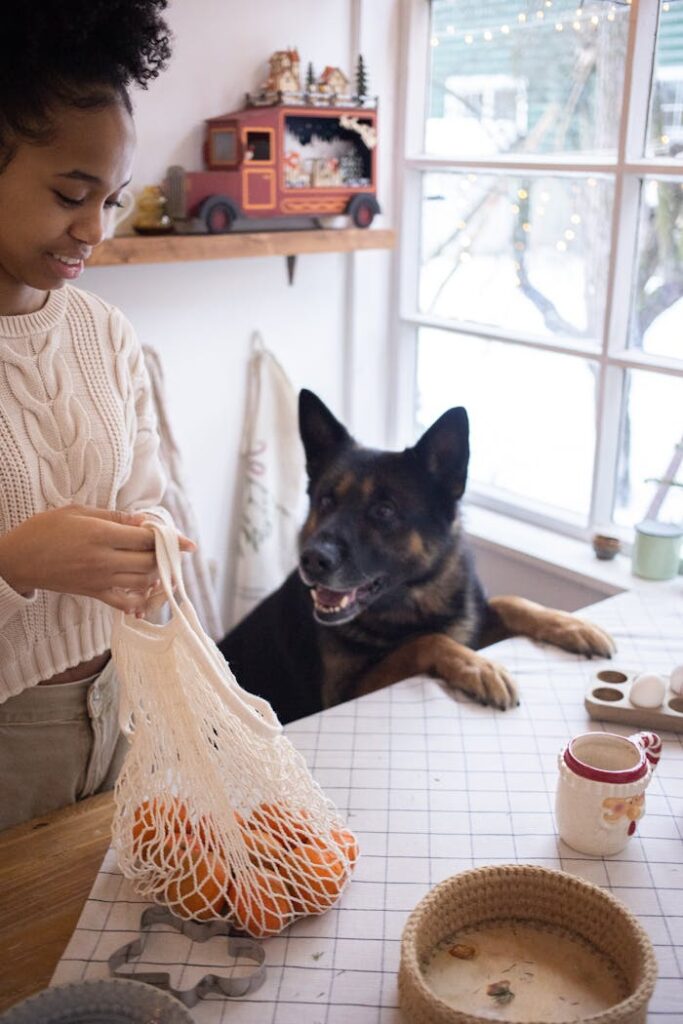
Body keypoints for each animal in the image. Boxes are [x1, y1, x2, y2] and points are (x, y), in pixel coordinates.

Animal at [222, 389, 618, 720]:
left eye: (384, 511)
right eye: (326, 501)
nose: (311, 560)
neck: (416, 599)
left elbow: (509, 601)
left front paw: (572, 624)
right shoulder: (345, 692)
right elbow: (425, 641)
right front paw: (480, 667)